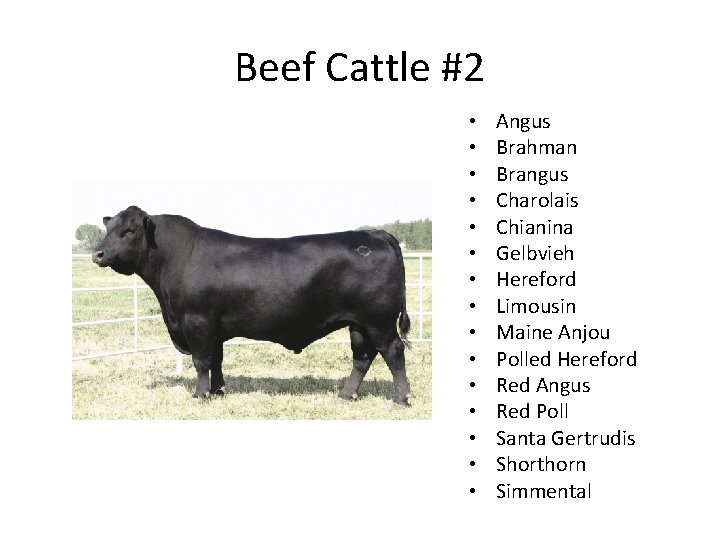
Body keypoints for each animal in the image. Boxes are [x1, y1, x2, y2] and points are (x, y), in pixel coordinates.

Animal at [92, 206, 412, 405]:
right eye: (109, 228)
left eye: (130, 231)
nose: (98, 253)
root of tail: (374, 233)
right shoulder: (214, 328)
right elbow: (216, 360)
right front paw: (218, 391)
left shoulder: (197, 322)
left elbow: (201, 361)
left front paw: (200, 395)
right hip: (358, 324)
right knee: (363, 357)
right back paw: (346, 395)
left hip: (379, 321)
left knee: (393, 352)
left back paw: (401, 398)